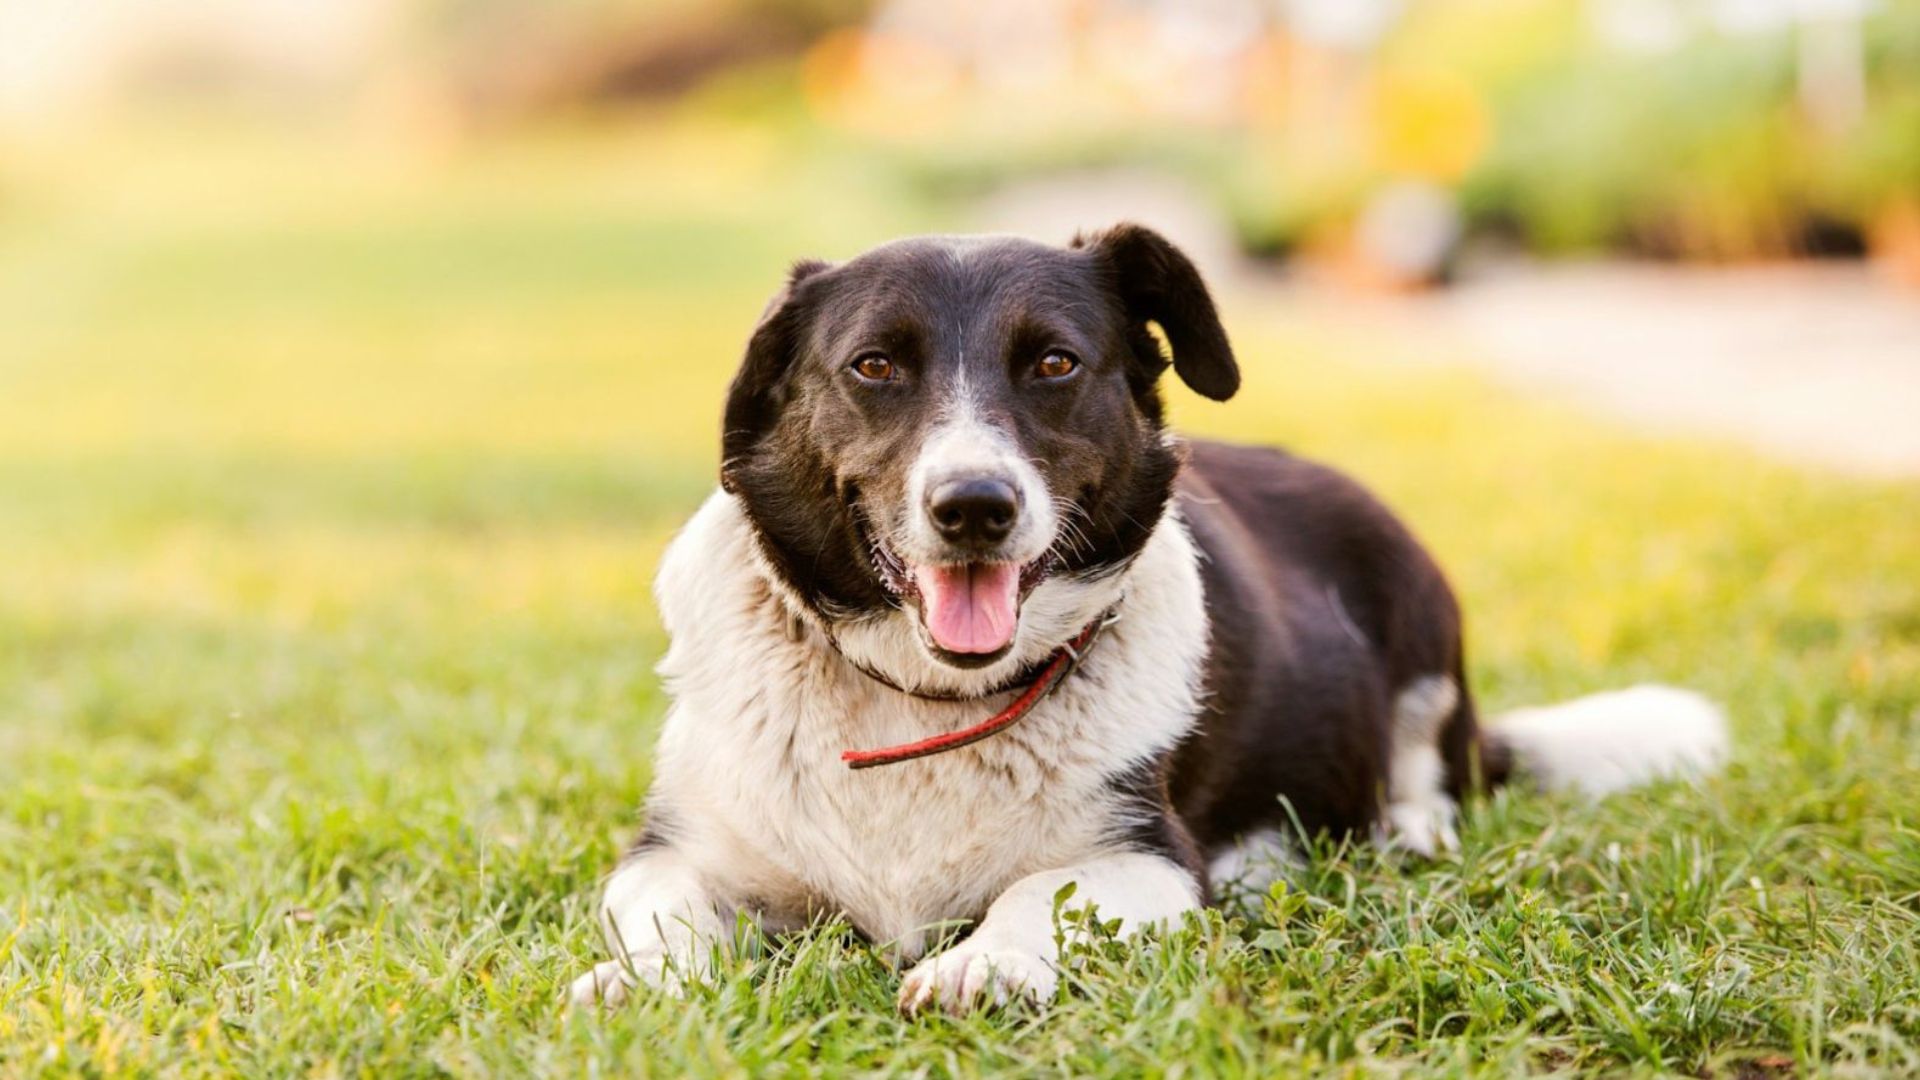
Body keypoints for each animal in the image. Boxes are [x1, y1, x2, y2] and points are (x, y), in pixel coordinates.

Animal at [564, 224, 1728, 1006]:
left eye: (1055, 363)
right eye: (875, 366)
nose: (975, 508)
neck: (925, 702)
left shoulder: (1150, 860)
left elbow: (1037, 895)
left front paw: (984, 963)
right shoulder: (673, 851)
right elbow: (666, 916)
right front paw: (641, 985)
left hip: (1415, 602)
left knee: (1420, 762)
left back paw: (1399, 827)